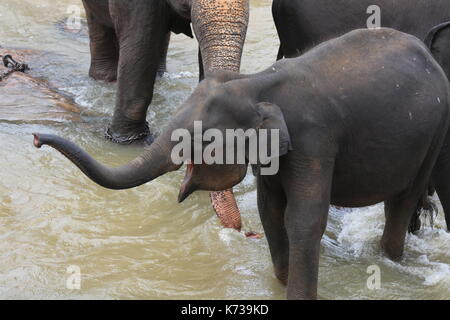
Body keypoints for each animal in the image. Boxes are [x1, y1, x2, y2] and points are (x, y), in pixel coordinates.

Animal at [31, 28, 450, 300]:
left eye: (200, 139)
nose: (35, 138)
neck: (255, 83)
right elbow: (269, 210)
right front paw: (281, 280)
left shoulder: (315, 140)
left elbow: (304, 219)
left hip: (435, 133)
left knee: (403, 201)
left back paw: (389, 257)